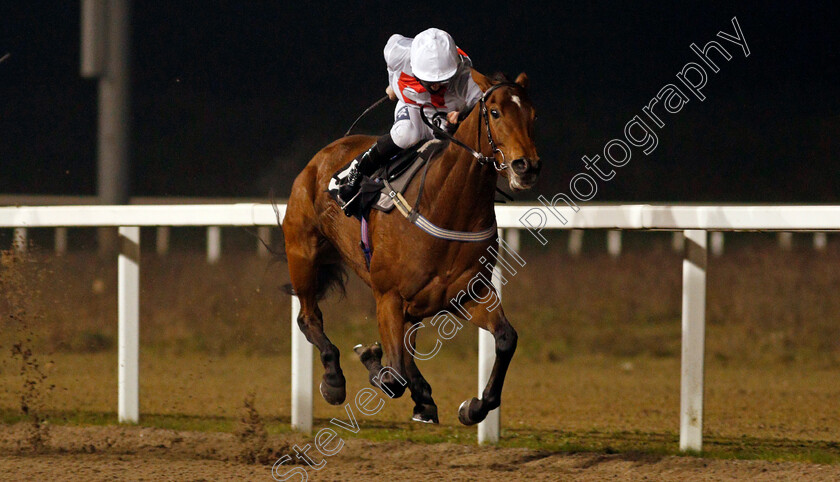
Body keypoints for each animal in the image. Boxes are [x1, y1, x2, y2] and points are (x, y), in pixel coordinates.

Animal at [282, 71, 540, 426]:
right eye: (496, 112)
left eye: (532, 115)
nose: (526, 166)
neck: (445, 206)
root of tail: (323, 155)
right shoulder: (388, 296)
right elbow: (392, 376)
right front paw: (370, 359)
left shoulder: (468, 293)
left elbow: (506, 339)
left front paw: (473, 407)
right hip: (303, 251)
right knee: (309, 318)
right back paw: (334, 381)